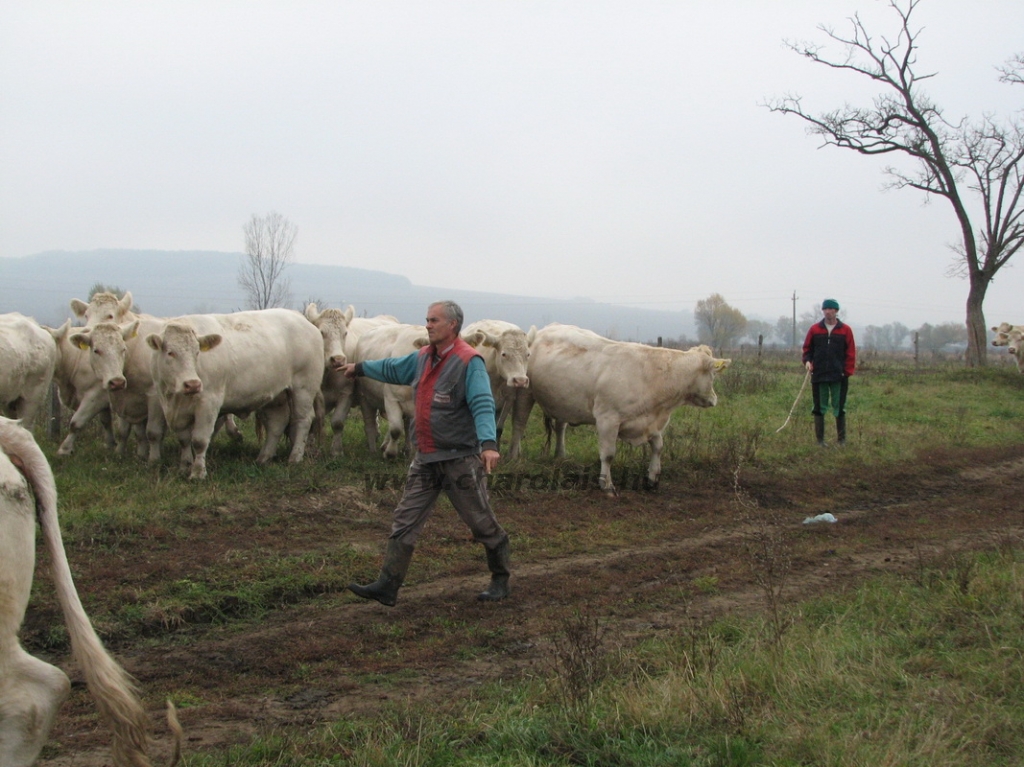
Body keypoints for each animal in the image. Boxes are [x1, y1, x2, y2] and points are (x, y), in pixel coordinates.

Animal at [146, 307, 321, 475]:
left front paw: (198, 472)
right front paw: (184, 466)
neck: (174, 398)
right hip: (277, 395)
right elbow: (184, 440)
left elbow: (199, 441)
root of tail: (299, 317)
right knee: (277, 422)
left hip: (304, 388)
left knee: (303, 419)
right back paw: (264, 457)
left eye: (197, 353)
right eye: (170, 352)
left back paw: (295, 457)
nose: (193, 384)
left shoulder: (209, 402)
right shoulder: (174, 408)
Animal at [507, 321, 733, 491]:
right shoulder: (607, 419)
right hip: (525, 392)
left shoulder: (651, 422)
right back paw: (514, 455)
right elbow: (608, 454)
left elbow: (658, 447)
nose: (714, 399)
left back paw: (560, 455)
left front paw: (653, 478)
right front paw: (606, 485)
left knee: (560, 426)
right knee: (518, 424)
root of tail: (543, 331)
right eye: (713, 375)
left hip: (562, 400)